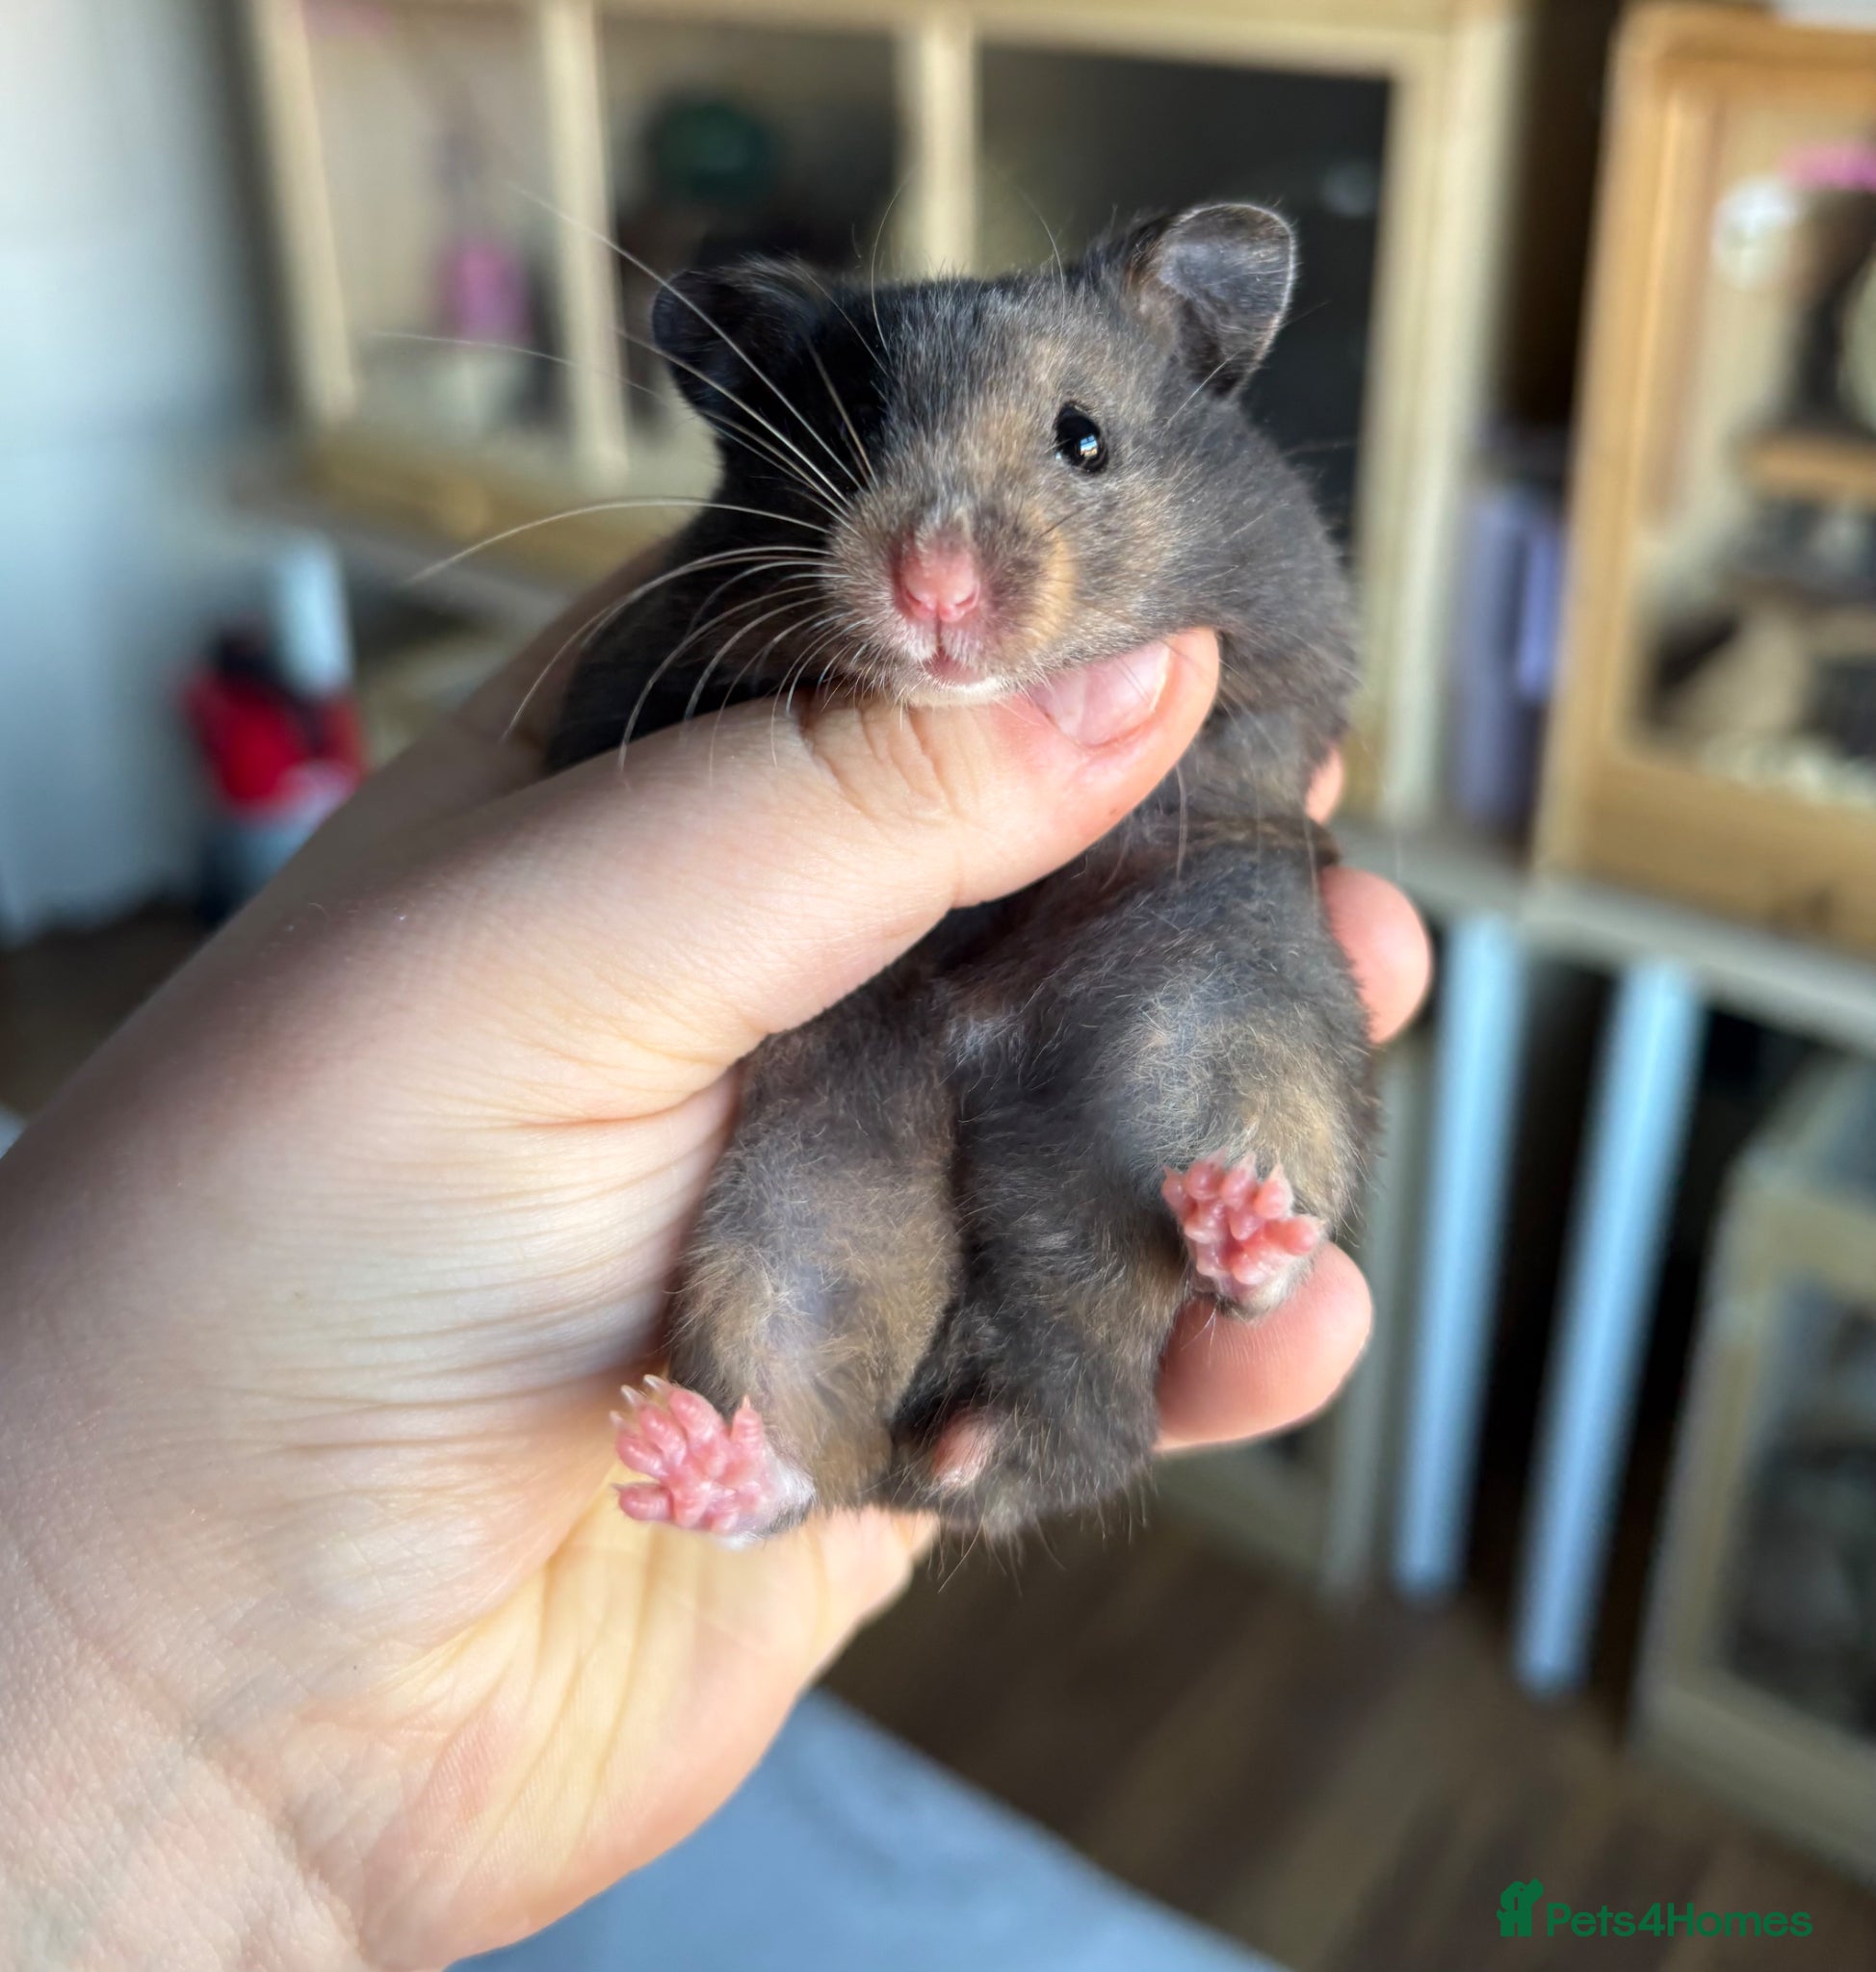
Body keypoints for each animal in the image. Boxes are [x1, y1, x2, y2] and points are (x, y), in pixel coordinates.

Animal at [548, 204, 1373, 1540]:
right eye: (837, 435)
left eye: (1084, 439)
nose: (932, 591)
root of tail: (994, 1413)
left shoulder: (1287, 647)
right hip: (800, 1196)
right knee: (795, 1422)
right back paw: (694, 1461)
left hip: (1243, 994)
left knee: (1253, 1220)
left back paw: (1240, 1216)